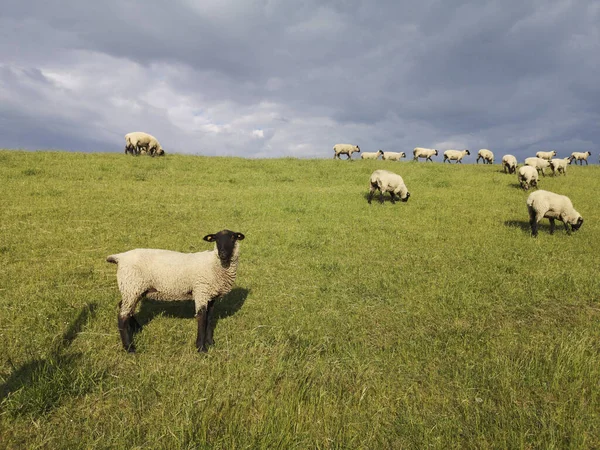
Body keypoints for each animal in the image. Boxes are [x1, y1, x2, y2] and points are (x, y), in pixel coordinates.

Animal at [105, 230, 244, 354]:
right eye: (216, 239)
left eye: (233, 238)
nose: (223, 254)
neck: (215, 264)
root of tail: (120, 257)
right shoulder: (201, 291)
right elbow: (202, 317)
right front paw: (201, 348)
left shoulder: (211, 296)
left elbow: (209, 318)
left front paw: (210, 342)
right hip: (132, 286)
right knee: (122, 316)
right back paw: (129, 348)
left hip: (133, 289)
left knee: (124, 307)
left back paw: (137, 328)